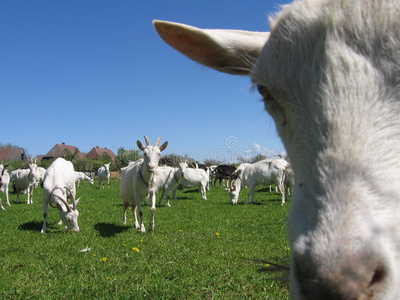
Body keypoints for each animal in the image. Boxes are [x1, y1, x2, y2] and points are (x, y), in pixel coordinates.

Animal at [153, 0, 400, 298]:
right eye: (263, 90)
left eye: (233, 194)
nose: (335, 282)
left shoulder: (248, 182)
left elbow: (249, 193)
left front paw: (247, 202)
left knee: (282, 191)